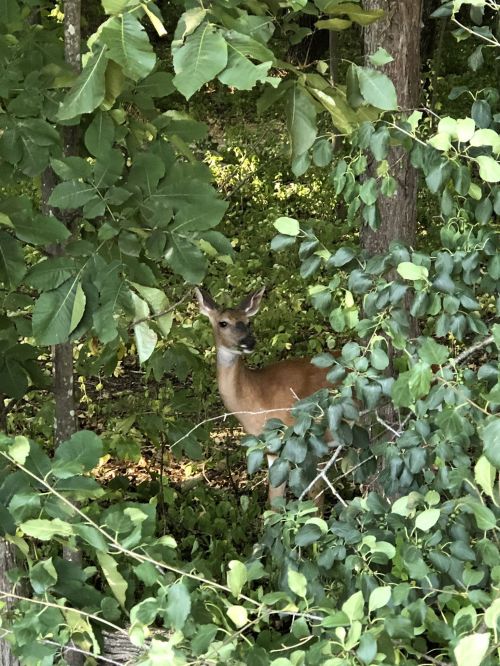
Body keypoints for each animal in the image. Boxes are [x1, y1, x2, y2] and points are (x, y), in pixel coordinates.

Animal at [195, 286, 332, 506]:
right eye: (223, 322)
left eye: (248, 322)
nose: (249, 342)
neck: (256, 397)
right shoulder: (270, 448)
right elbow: (274, 501)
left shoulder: (300, 439)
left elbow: (315, 495)